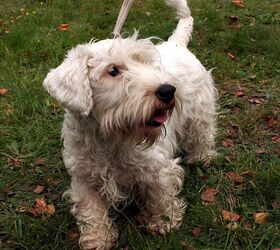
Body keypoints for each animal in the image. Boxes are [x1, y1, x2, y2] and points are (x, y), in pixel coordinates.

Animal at [43, 0, 217, 249]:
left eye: (148, 64)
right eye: (113, 70)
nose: (168, 90)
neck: (110, 138)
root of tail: (177, 43)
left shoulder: (157, 169)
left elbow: (161, 195)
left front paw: (164, 222)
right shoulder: (84, 179)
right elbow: (91, 211)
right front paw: (98, 238)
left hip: (199, 113)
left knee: (202, 133)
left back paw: (202, 157)